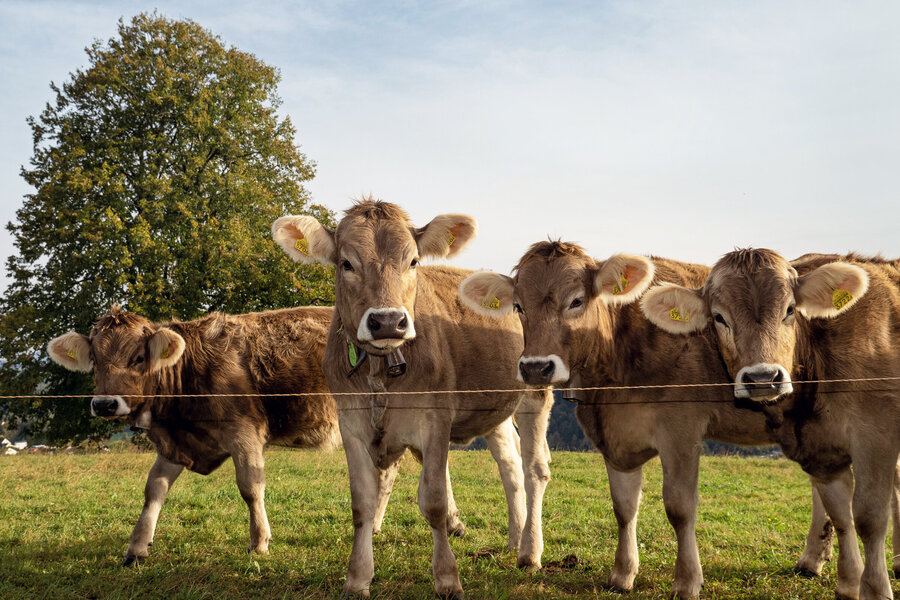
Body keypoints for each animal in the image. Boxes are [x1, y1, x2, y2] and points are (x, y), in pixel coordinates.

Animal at [47, 308, 346, 564]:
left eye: (138, 358)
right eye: (95, 361)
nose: (105, 404)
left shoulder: (244, 433)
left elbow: (251, 487)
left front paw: (259, 541)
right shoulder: (175, 444)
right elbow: (154, 488)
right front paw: (137, 547)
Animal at [272, 203, 556, 600]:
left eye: (413, 261)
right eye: (346, 263)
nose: (388, 321)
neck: (380, 369)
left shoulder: (435, 420)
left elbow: (434, 501)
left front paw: (448, 578)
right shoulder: (351, 424)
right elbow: (362, 502)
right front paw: (357, 578)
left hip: (535, 388)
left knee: (535, 469)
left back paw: (530, 551)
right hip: (495, 409)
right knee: (510, 466)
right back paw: (515, 538)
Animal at [464, 243, 856, 600]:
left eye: (576, 300)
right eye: (518, 306)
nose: (535, 367)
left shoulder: (680, 430)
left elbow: (680, 508)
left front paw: (686, 582)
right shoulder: (616, 437)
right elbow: (623, 507)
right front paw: (622, 575)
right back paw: (812, 561)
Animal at [640, 246, 900, 596]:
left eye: (790, 309)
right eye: (719, 317)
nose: (763, 377)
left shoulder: (876, 434)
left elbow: (869, 517)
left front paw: (874, 590)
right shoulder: (821, 450)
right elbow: (842, 516)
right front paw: (849, 585)